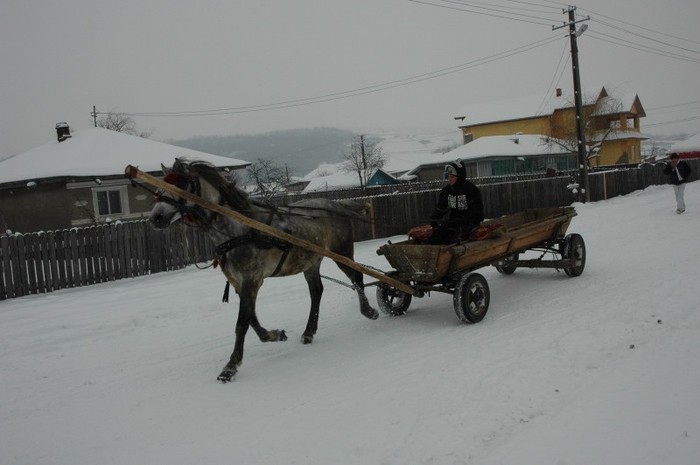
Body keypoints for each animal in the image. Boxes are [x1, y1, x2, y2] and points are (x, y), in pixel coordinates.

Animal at [148, 158, 378, 382]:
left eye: (181, 184)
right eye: (160, 186)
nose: (156, 218)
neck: (239, 229)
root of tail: (335, 205)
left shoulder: (252, 279)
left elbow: (242, 323)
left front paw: (230, 367)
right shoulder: (239, 282)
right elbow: (251, 319)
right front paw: (275, 335)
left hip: (342, 252)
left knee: (357, 276)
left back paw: (369, 311)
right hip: (311, 261)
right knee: (317, 291)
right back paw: (309, 332)